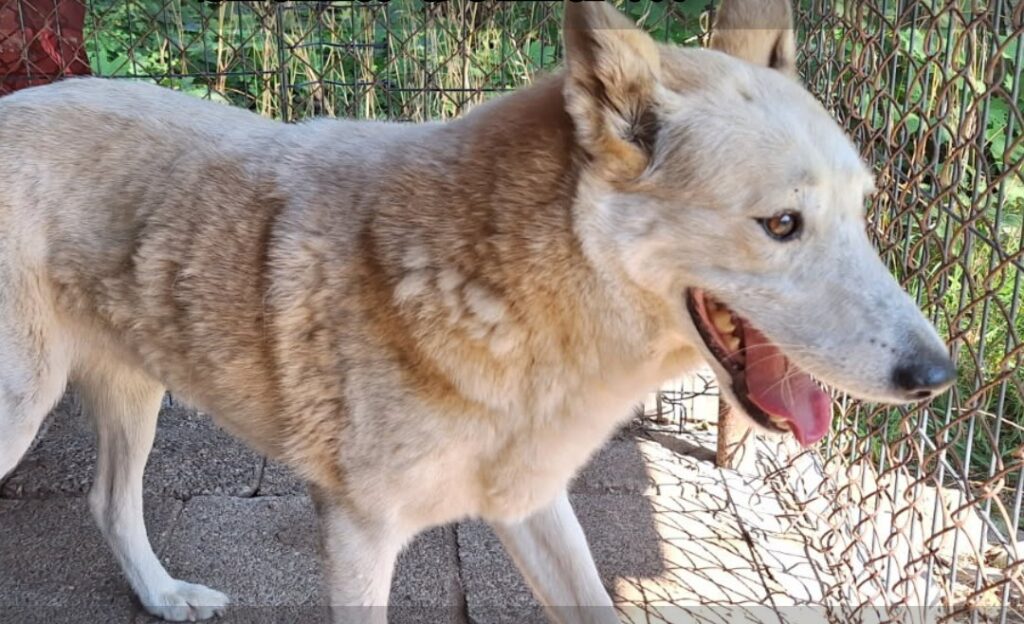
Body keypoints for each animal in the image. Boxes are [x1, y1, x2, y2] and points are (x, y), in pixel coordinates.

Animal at [0, 1, 956, 622]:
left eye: (862, 212)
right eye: (783, 225)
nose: (939, 377)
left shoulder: (532, 506)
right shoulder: (358, 534)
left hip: (134, 392)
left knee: (109, 504)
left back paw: (165, 598)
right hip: (23, 412)